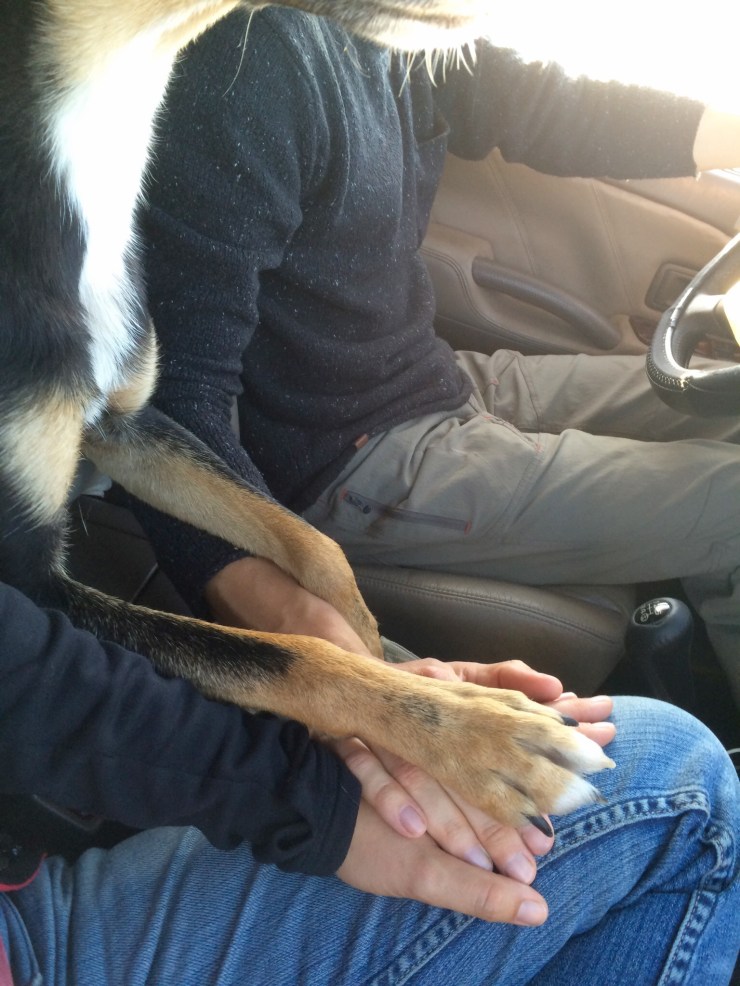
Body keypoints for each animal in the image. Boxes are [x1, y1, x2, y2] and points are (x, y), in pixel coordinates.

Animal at [0, 0, 612, 831]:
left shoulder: (127, 425)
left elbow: (314, 544)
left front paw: (387, 651)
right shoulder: (27, 587)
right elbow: (286, 656)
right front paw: (479, 734)